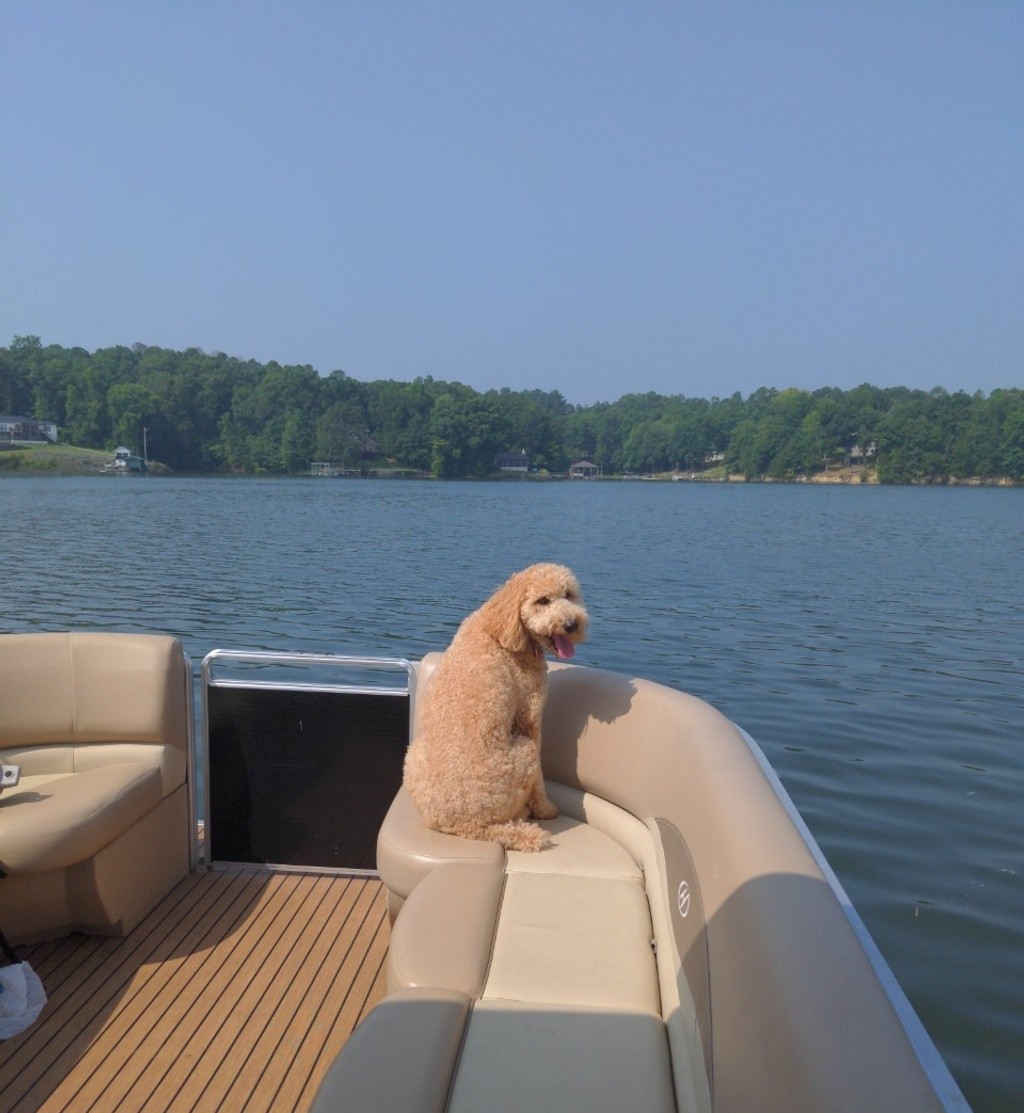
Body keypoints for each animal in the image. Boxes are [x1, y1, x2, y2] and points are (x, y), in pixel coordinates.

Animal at [403, 563, 588, 851]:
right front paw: (546, 809)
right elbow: (540, 780)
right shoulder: (530, 714)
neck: (501, 629)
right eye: (542, 601)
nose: (571, 625)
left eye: (569, 595)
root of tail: (469, 826)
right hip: (524, 750)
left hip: (412, 756)